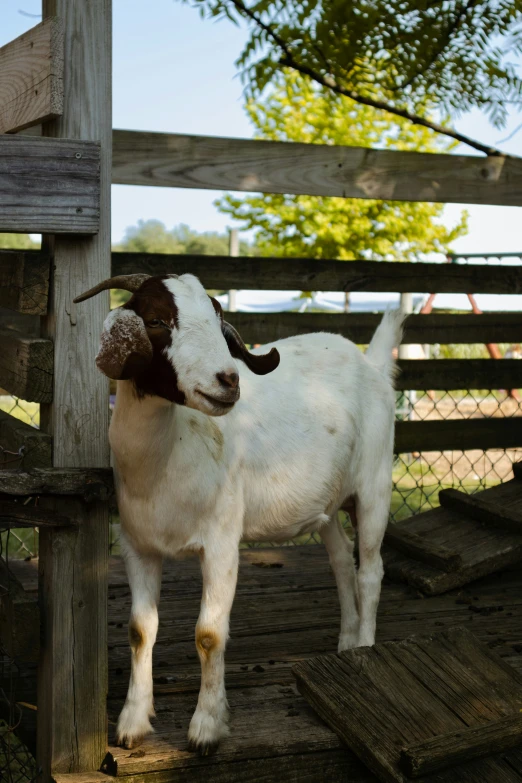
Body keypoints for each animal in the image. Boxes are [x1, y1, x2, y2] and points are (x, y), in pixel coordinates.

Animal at [73, 272, 402, 756]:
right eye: (156, 320)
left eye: (217, 322)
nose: (228, 380)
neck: (169, 457)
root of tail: (371, 364)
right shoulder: (137, 544)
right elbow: (139, 630)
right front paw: (132, 722)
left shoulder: (222, 542)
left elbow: (209, 634)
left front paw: (207, 728)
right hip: (326, 502)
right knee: (342, 560)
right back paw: (345, 642)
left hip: (374, 485)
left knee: (371, 570)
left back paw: (363, 646)